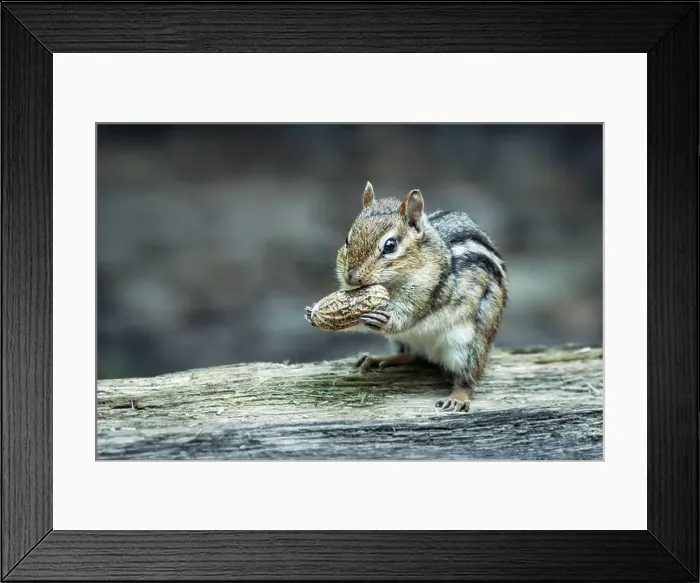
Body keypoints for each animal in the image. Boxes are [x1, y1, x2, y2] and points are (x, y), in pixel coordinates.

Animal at [335, 181, 508, 412]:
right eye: (347, 240)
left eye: (390, 246)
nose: (352, 277)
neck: (392, 286)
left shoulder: (430, 291)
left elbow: (409, 315)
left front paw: (383, 320)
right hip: (404, 341)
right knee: (410, 354)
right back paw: (381, 358)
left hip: (469, 345)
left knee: (468, 379)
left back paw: (457, 397)